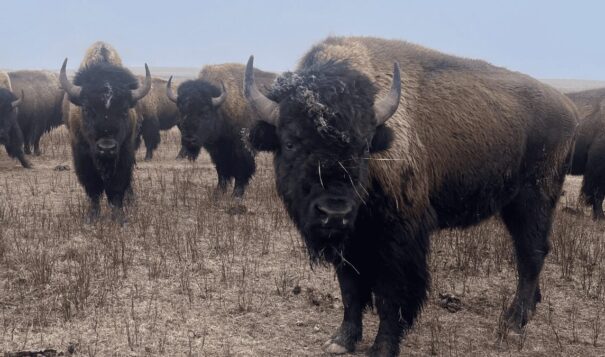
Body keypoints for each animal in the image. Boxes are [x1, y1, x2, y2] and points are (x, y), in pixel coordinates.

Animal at [59, 41, 151, 222]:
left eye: (124, 110)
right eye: (87, 109)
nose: (106, 148)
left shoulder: (124, 152)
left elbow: (117, 188)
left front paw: (119, 218)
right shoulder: (82, 155)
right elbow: (93, 187)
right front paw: (92, 217)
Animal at [168, 62, 276, 196]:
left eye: (205, 113)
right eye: (182, 111)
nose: (189, 140)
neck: (223, 107)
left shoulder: (242, 148)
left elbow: (242, 169)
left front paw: (237, 194)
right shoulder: (218, 151)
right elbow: (222, 170)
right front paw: (218, 192)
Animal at [244, 36, 576, 356]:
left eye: (364, 147)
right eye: (289, 143)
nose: (334, 212)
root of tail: (567, 107)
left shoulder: (400, 239)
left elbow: (392, 295)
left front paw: (382, 348)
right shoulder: (351, 241)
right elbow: (350, 290)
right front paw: (341, 340)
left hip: (533, 200)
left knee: (531, 254)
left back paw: (514, 322)